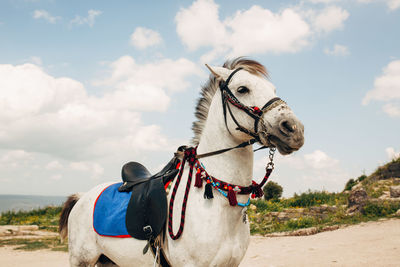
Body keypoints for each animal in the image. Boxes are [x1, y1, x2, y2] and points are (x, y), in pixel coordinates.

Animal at [58, 59, 304, 267]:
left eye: (273, 89)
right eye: (243, 89)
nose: (294, 129)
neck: (221, 206)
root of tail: (82, 197)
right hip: (82, 260)